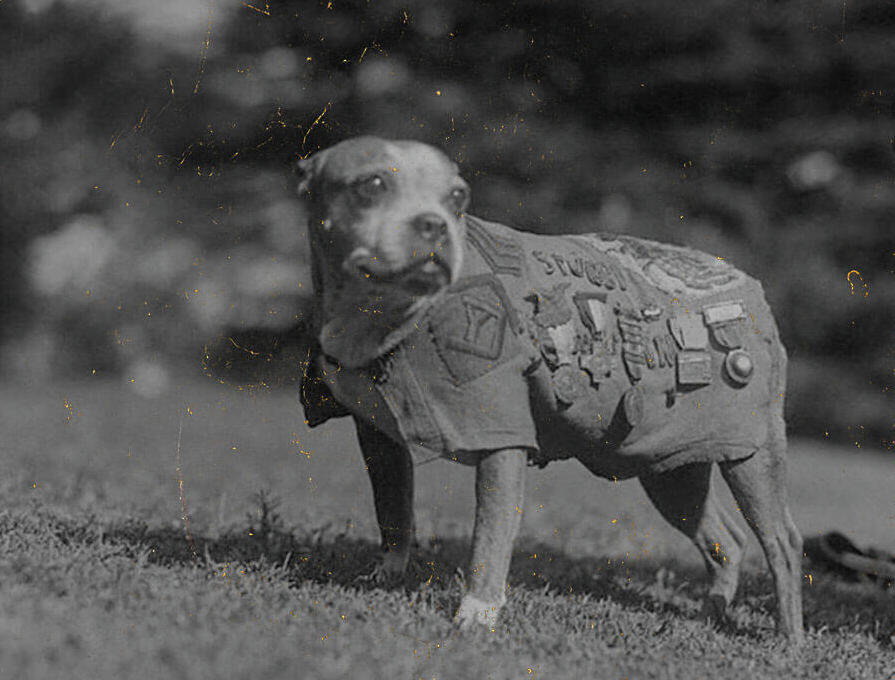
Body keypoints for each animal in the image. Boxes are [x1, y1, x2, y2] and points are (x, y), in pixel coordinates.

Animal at [296, 135, 804, 640]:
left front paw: (477, 614)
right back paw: (711, 613)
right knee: (726, 539)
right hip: (671, 468)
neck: (384, 317)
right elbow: (393, 511)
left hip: (752, 456)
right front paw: (386, 575)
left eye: (458, 198)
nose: (434, 224)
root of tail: (751, 290)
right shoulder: (379, 440)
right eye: (371, 185)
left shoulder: (502, 441)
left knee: (782, 541)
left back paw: (788, 638)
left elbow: (491, 533)